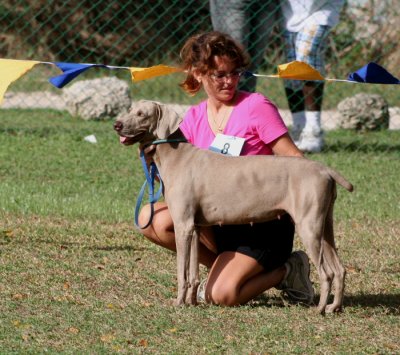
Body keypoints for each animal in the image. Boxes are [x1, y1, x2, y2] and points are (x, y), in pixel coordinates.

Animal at [115, 100, 354, 314]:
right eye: (130, 109)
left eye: (141, 114)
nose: (116, 124)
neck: (176, 154)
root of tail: (325, 170)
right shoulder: (194, 226)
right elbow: (193, 273)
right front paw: (192, 302)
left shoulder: (182, 225)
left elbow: (182, 272)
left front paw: (178, 303)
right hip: (325, 226)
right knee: (339, 269)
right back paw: (334, 307)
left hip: (309, 226)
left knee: (326, 272)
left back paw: (320, 309)